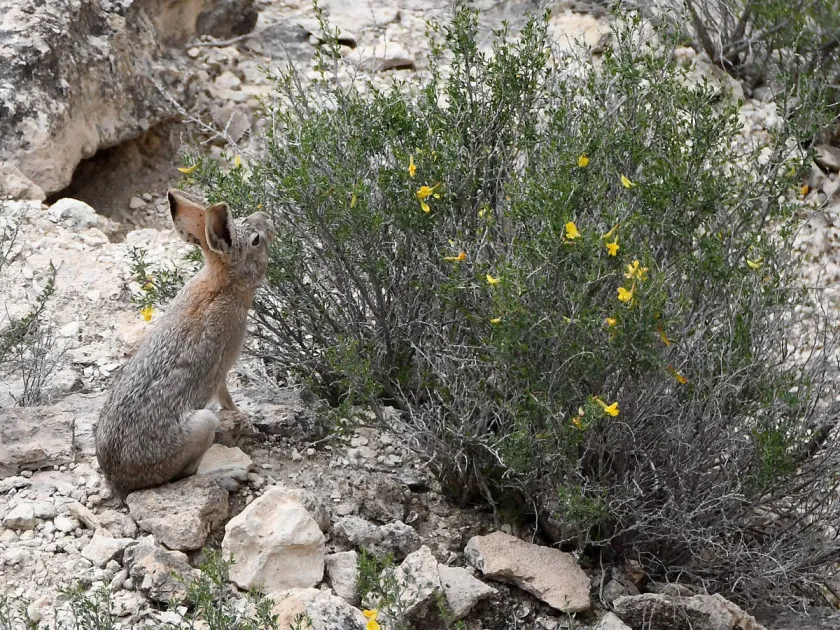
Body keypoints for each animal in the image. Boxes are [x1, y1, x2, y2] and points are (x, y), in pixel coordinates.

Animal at [95, 189, 275, 498]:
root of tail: (119, 480)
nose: (267, 219)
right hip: (202, 425)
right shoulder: (224, 365)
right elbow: (226, 396)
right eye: (255, 240)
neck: (224, 286)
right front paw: (243, 415)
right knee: (187, 474)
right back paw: (229, 475)